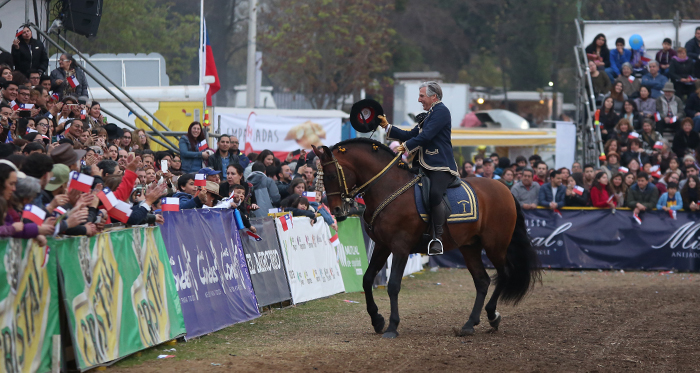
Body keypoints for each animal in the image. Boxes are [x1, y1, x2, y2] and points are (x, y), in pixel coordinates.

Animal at [314, 139, 540, 338]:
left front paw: (392, 326)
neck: (388, 188)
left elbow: (393, 285)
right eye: (321, 177)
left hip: (495, 245)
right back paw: (469, 324)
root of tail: (505, 189)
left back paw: (492, 315)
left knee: (503, 274)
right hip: (470, 247)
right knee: (482, 281)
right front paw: (377, 320)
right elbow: (367, 278)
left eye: (332, 175)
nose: (336, 210)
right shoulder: (382, 245)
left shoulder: (400, 247)